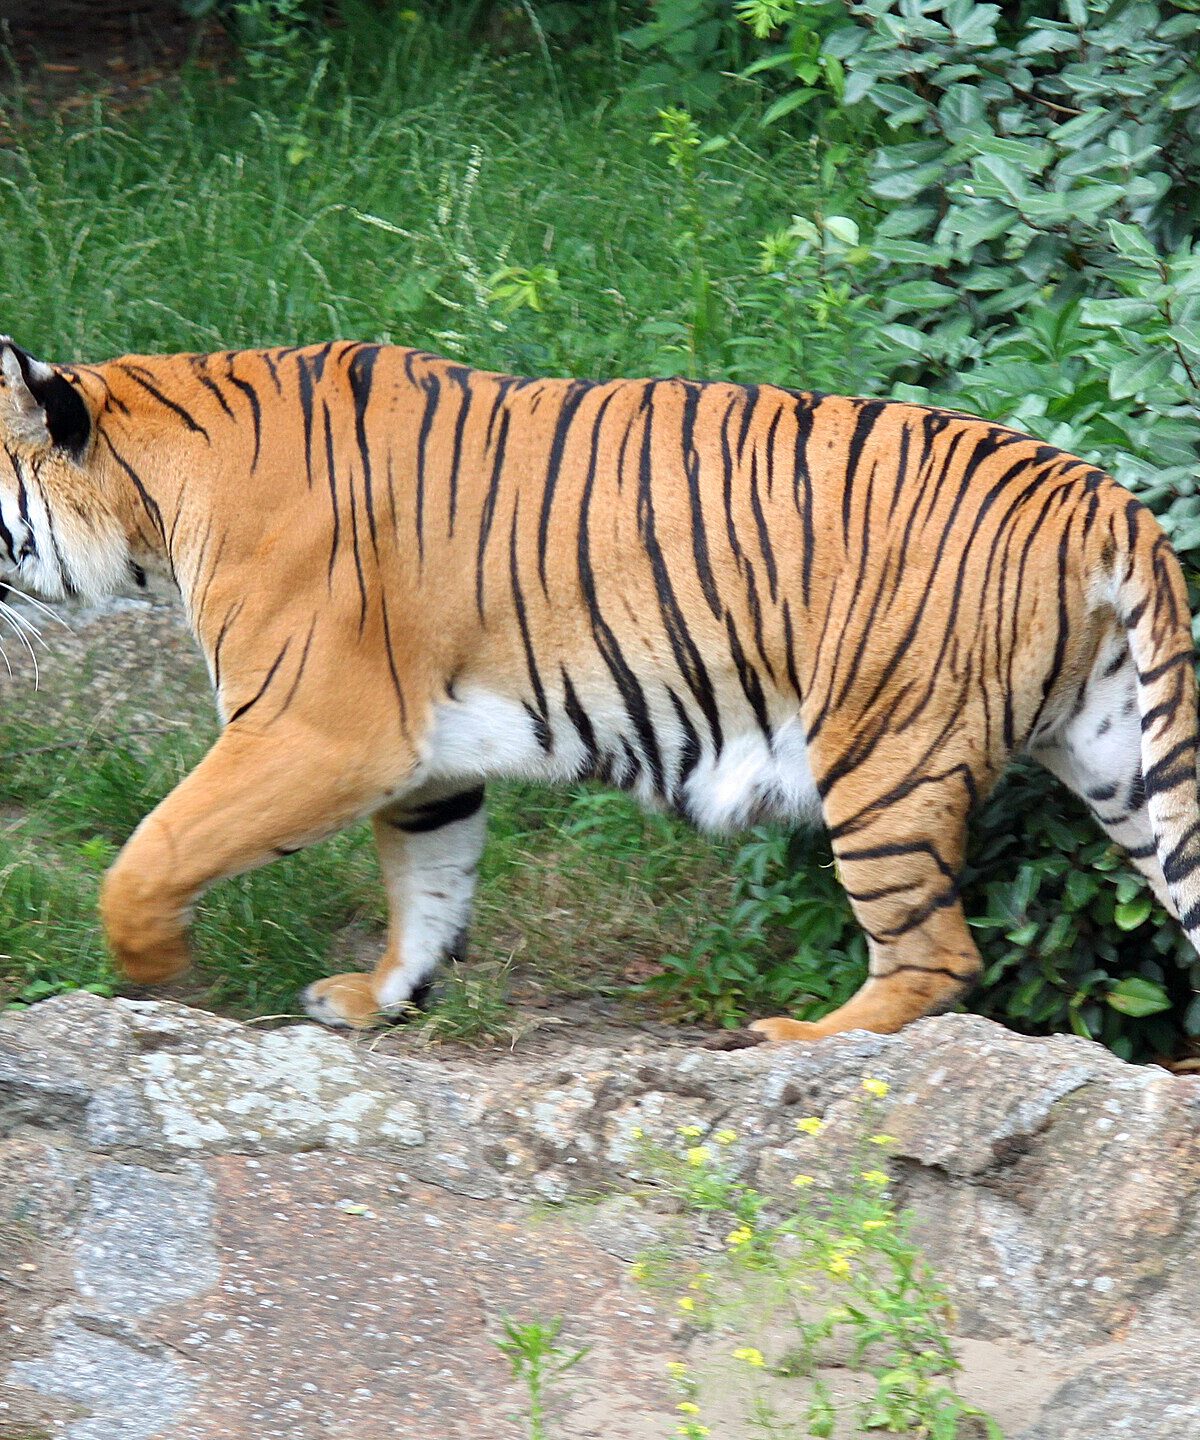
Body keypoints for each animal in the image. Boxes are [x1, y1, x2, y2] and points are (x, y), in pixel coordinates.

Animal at [0, 333, 1198, 1042]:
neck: (152, 502)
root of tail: (1095, 491)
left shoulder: (316, 733)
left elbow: (150, 855)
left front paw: (158, 978)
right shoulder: (421, 764)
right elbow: (429, 889)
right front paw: (378, 998)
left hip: (883, 754)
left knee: (936, 953)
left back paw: (797, 1040)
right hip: (1120, 763)